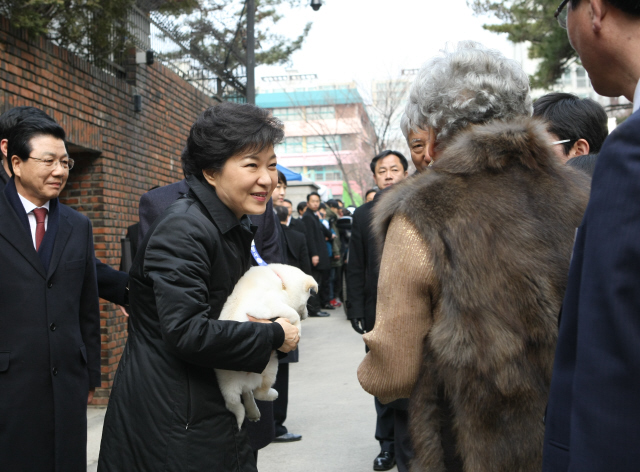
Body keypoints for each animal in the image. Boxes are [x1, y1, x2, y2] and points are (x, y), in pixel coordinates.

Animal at [215, 264, 318, 430]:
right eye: (308, 299)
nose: (308, 314)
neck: (281, 282)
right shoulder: (270, 306)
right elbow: (293, 314)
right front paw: (297, 331)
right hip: (270, 366)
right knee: (257, 393)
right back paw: (273, 394)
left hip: (230, 387)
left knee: (243, 397)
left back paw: (252, 411)